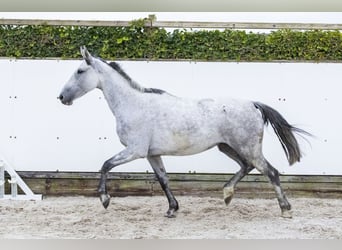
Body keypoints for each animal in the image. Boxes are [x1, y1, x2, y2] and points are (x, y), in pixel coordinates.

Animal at [58, 46, 310, 218]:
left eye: (80, 71)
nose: (61, 97)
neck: (133, 104)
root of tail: (254, 104)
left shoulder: (135, 151)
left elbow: (105, 165)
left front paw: (104, 199)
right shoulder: (152, 154)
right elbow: (163, 180)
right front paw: (172, 209)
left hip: (248, 148)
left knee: (271, 172)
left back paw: (285, 209)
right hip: (227, 146)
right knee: (247, 167)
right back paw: (227, 194)